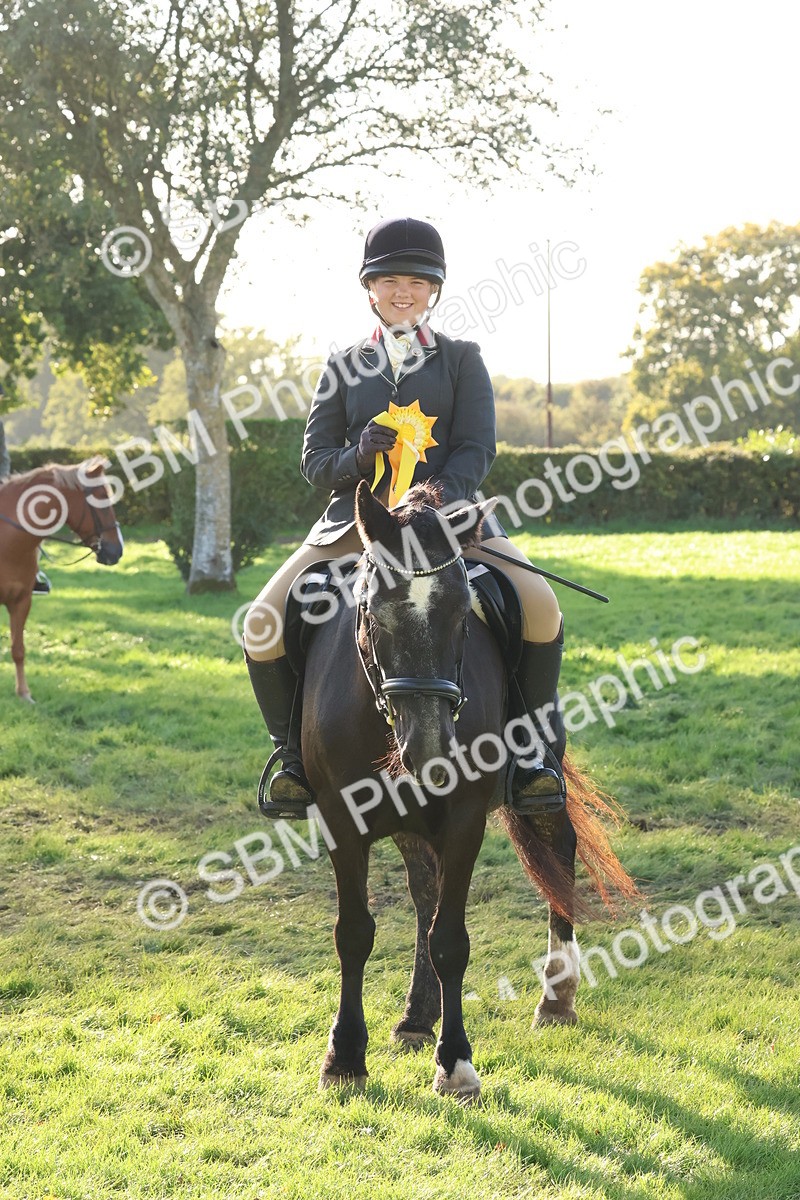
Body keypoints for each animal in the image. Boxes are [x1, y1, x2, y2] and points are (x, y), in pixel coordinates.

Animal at [301, 480, 637, 1102]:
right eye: (373, 612)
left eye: (463, 615)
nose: (432, 749)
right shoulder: (341, 818)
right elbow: (355, 933)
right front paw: (345, 1059)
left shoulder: (462, 819)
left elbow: (451, 940)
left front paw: (455, 1063)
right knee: (424, 891)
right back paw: (416, 1016)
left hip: (538, 778)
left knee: (558, 851)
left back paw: (556, 998)